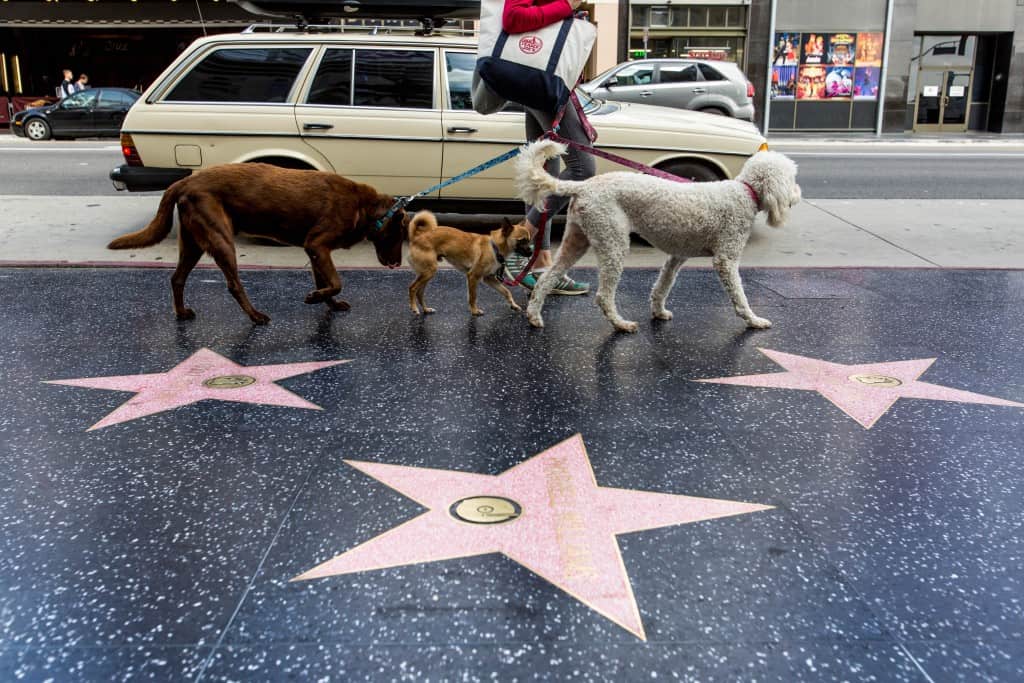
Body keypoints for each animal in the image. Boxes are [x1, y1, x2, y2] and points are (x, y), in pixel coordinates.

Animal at [107, 164, 403, 325]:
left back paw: (181, 313)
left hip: (193, 243)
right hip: (221, 238)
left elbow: (326, 282)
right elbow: (336, 281)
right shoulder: (317, 245)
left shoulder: (315, 251)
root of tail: (184, 181)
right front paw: (315, 298)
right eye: (398, 236)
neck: (363, 207)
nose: (398, 264)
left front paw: (328, 302)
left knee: (177, 278)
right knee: (233, 284)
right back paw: (256, 316)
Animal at [407, 209, 536, 317]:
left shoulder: (489, 278)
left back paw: (426, 309)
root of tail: (417, 237)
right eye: (522, 241)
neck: (494, 247)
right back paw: (414, 308)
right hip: (429, 272)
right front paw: (474, 311)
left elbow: (506, 291)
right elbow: (473, 296)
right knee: (412, 288)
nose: (531, 252)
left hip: (427, 274)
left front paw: (513, 305)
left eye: (529, 240)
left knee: (419, 293)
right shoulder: (473, 277)